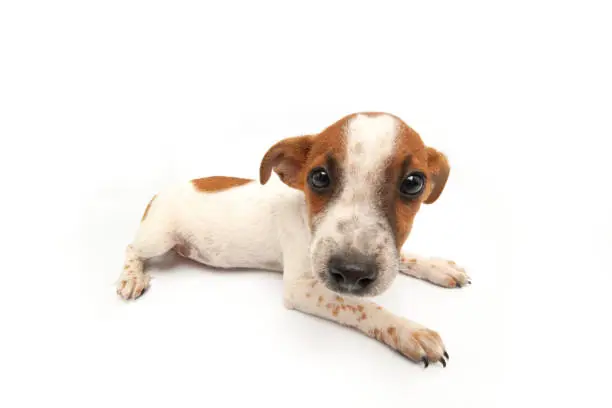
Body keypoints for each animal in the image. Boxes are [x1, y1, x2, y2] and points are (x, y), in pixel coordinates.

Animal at [117, 111, 470, 366]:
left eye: (414, 183)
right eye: (319, 177)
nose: (352, 273)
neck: (306, 217)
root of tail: (162, 191)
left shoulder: (385, 254)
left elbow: (404, 257)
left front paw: (439, 267)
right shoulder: (303, 288)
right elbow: (362, 306)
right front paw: (409, 331)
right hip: (158, 237)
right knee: (131, 247)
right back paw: (132, 276)